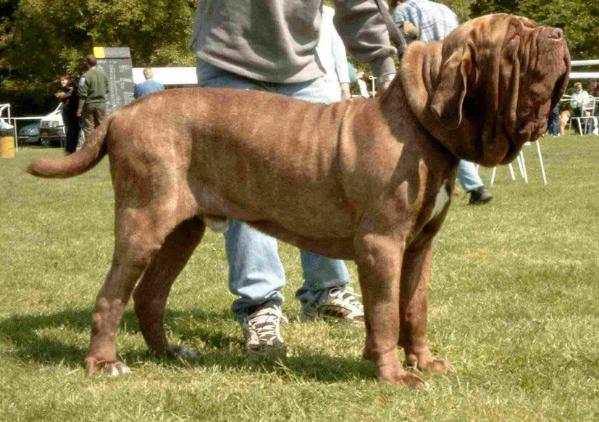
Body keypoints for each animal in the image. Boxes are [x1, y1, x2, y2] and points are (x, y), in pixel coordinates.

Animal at [29, 14, 572, 386]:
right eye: (515, 37)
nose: (558, 34)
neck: (424, 126)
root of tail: (121, 114)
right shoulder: (382, 244)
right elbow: (384, 312)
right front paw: (393, 375)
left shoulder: (419, 246)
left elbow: (413, 308)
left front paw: (423, 361)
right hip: (143, 221)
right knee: (112, 293)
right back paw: (105, 363)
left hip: (183, 229)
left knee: (150, 293)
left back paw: (169, 353)